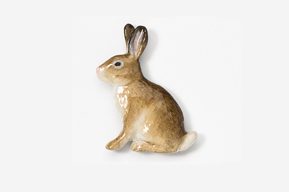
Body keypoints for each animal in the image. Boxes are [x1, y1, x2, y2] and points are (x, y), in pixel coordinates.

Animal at [96, 24, 196, 153]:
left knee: (169, 148)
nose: (98, 70)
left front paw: (112, 145)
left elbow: (125, 131)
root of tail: (181, 141)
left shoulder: (131, 112)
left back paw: (139, 146)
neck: (130, 82)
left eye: (117, 64)